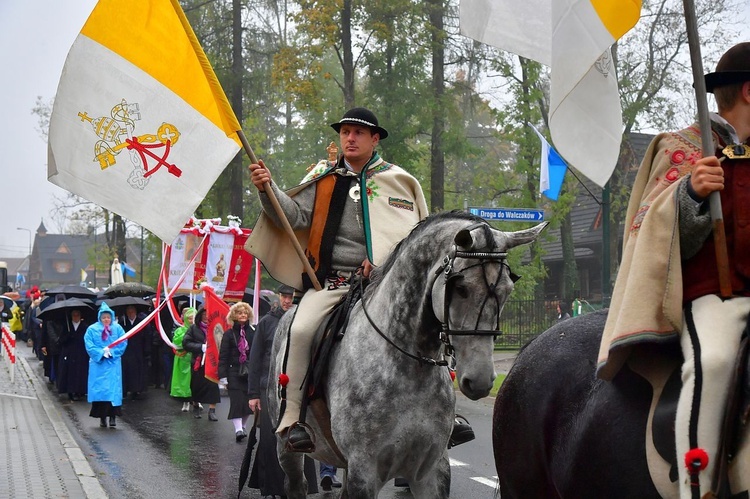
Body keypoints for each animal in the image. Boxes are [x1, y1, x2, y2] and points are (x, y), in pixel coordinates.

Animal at [268, 212, 548, 499]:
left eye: (507, 290)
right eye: (461, 288)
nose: (480, 380)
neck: (408, 369)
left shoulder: (431, 471)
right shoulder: (364, 472)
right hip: (287, 450)